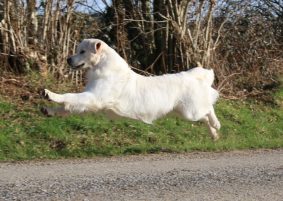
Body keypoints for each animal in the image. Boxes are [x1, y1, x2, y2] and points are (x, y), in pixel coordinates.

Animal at [43, 38, 222, 140]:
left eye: (82, 51)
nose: (68, 59)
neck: (103, 66)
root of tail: (192, 74)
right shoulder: (90, 102)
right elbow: (67, 107)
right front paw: (48, 110)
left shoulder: (94, 97)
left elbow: (69, 96)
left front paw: (49, 94)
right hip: (182, 113)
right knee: (205, 117)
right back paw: (214, 134)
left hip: (190, 110)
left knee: (209, 108)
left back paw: (217, 124)